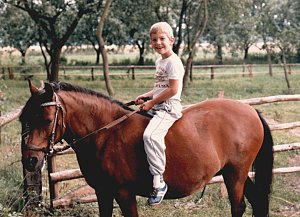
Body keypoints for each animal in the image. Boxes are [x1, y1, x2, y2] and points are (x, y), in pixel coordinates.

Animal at [19, 81, 274, 217]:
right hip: (237, 174)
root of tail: (250, 111)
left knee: (238, 207)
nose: (30, 160)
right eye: (24, 118)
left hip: (235, 175)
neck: (106, 133)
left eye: (46, 119)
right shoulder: (103, 192)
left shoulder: (124, 193)